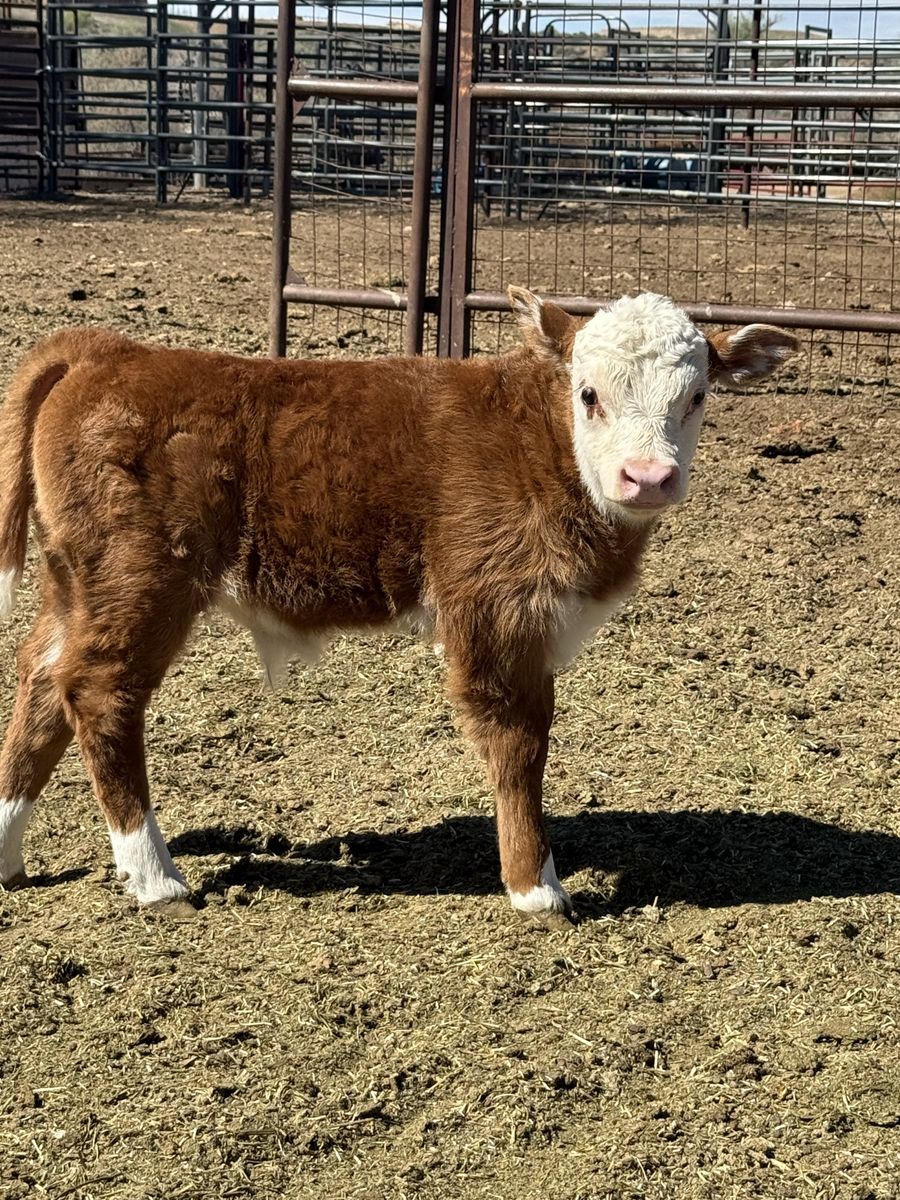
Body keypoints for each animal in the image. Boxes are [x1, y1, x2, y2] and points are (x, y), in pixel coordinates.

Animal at [0, 290, 798, 922]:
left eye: (697, 396)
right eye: (589, 394)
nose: (648, 476)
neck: (543, 445)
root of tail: (108, 352)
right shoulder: (496, 610)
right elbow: (518, 743)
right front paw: (535, 887)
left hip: (75, 584)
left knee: (41, 681)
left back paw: (8, 851)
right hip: (140, 582)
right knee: (98, 691)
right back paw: (156, 877)